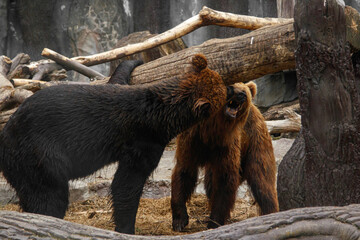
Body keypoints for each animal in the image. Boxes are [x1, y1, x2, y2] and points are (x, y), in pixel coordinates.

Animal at [0, 53, 228, 233]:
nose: (234, 93)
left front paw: (133, 60)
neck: (161, 116)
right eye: (225, 93)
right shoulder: (143, 141)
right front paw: (127, 227)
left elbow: (117, 79)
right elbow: (126, 184)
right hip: (38, 154)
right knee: (49, 196)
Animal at [171, 81, 278, 231]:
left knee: (262, 182)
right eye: (230, 86)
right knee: (209, 183)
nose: (242, 94)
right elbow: (184, 171)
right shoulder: (191, 140)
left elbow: (225, 180)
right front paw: (180, 220)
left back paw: (270, 212)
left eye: (244, 91)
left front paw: (214, 222)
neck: (211, 130)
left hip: (256, 142)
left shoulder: (227, 145)